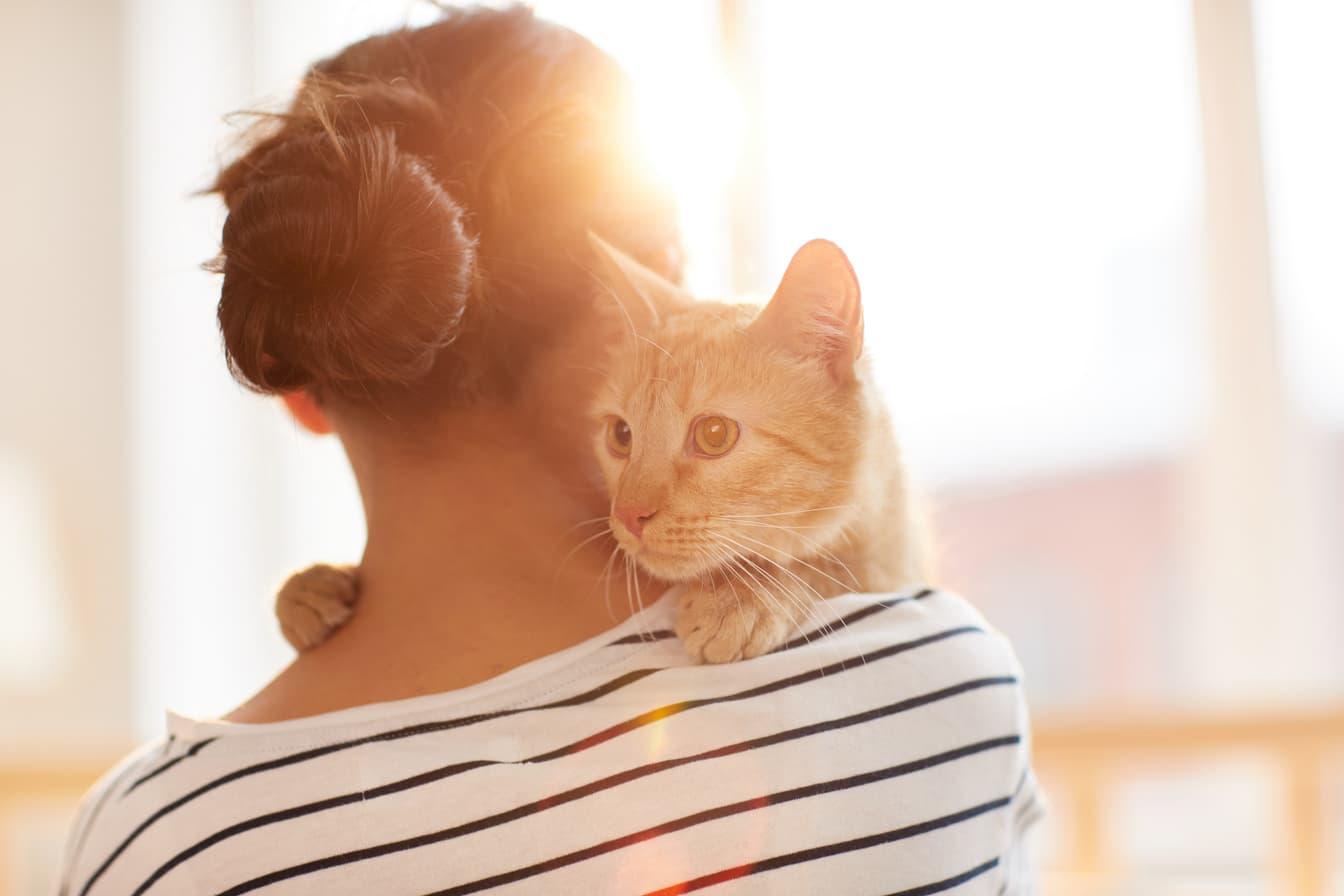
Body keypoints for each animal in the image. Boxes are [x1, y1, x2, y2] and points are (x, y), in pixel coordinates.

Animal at [272, 237, 924, 666]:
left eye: (714, 435)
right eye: (621, 436)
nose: (629, 516)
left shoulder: (891, 562)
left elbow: (830, 565)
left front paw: (747, 595)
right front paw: (313, 586)